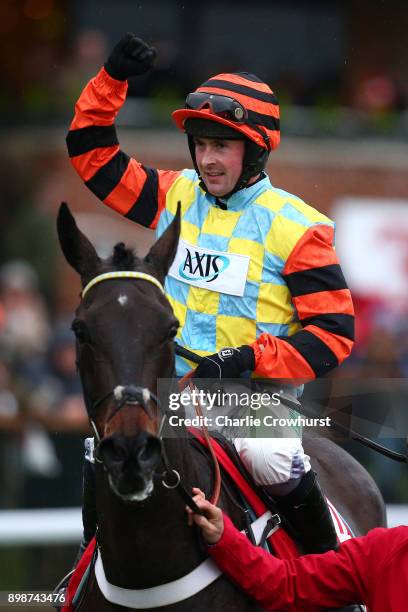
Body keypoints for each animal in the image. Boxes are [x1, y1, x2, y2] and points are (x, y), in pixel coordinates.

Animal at [56, 203, 386, 608]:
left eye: (170, 328)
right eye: (80, 329)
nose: (132, 452)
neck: (148, 577)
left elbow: (330, 328)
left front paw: (225, 361)